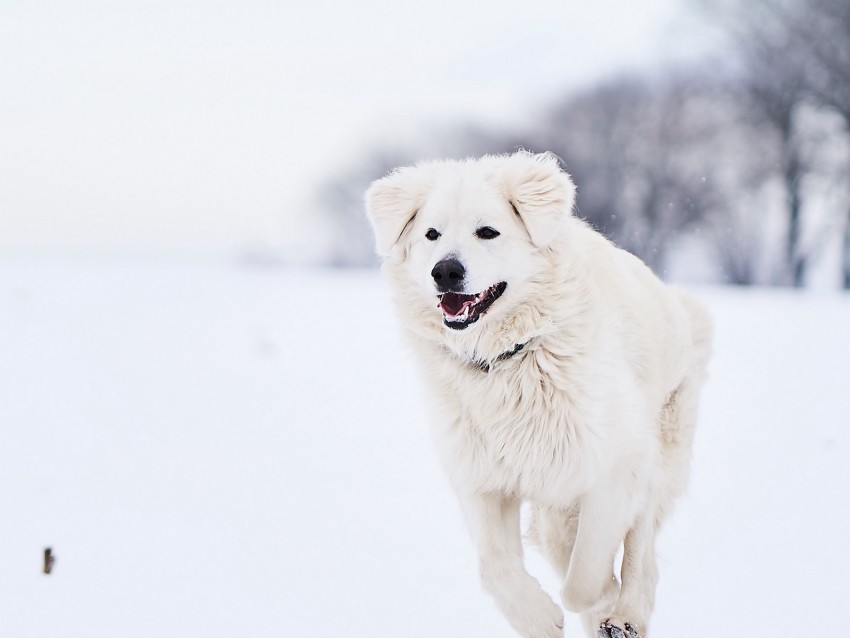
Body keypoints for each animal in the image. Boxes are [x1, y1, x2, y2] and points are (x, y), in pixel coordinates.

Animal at [364, 152, 708, 636]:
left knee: (642, 553)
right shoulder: (481, 478)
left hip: (658, 454)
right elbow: (495, 567)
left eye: (488, 231)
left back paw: (623, 616)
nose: (445, 271)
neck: (509, 359)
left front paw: (599, 598)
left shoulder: (615, 465)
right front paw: (541, 618)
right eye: (431, 235)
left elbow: (586, 575)